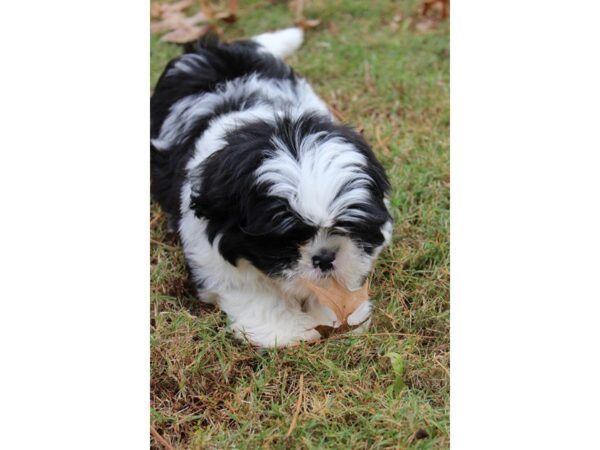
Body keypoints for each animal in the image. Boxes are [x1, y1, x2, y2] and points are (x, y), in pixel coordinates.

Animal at [152, 27, 392, 348]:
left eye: (347, 227)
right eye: (286, 239)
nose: (325, 257)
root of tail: (216, 50)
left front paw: (332, 315)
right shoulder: (213, 250)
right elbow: (253, 292)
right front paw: (285, 330)